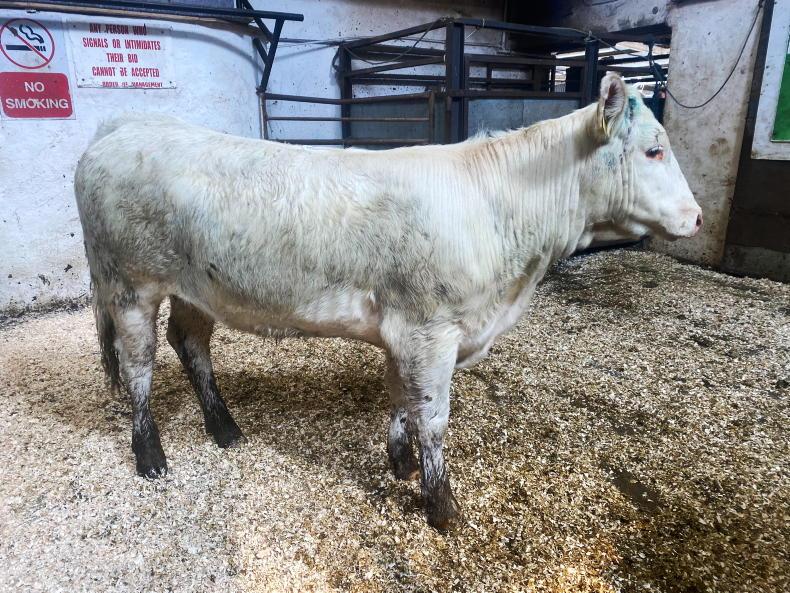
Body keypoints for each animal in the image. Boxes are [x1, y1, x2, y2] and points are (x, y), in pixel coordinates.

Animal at [74, 73, 701, 530]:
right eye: (653, 150)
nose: (696, 218)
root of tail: (124, 124)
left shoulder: (407, 331)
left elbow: (402, 398)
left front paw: (400, 464)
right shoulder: (431, 329)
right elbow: (434, 416)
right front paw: (441, 505)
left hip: (196, 290)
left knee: (190, 344)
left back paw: (223, 426)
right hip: (130, 286)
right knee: (139, 366)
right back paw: (150, 455)